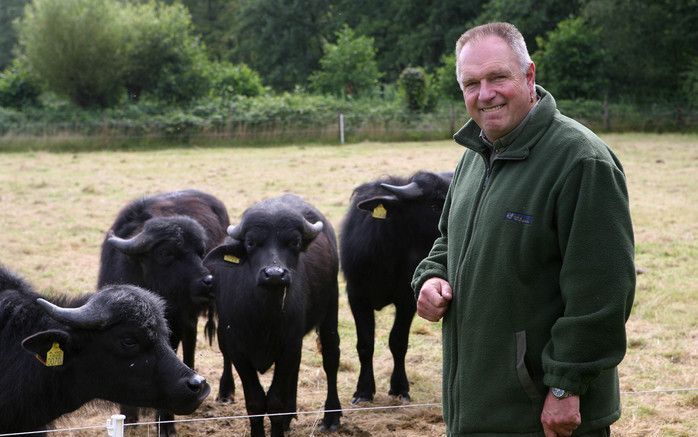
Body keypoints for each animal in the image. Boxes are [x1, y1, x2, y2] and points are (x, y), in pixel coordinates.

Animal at [97, 188, 228, 436]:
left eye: (200, 252)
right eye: (167, 252)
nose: (209, 282)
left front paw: (165, 422)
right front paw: (129, 416)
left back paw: (225, 393)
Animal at [203, 194, 342, 436]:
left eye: (294, 242)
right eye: (251, 243)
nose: (275, 274)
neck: (264, 316)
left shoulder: (288, 346)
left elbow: (276, 402)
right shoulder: (238, 350)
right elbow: (256, 402)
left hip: (330, 306)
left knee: (331, 356)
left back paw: (331, 415)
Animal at [338, 169, 452, 402]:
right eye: (434, 205)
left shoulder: (407, 300)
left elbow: (398, 342)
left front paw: (399, 387)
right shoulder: (356, 296)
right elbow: (365, 344)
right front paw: (363, 390)